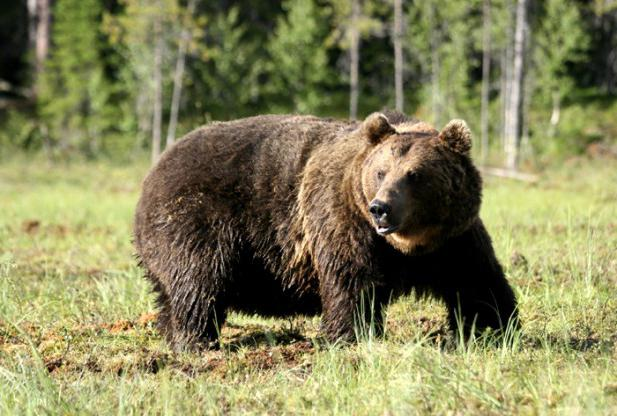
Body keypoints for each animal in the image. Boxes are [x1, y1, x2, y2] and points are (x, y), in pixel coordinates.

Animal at [134, 111, 516, 352]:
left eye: (415, 174)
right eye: (381, 171)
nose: (381, 207)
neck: (409, 245)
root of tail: (153, 171)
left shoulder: (453, 239)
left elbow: (477, 280)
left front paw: (495, 327)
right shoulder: (343, 216)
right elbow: (351, 278)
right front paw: (350, 334)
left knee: (171, 290)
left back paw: (171, 331)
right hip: (197, 217)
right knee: (199, 280)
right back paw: (195, 340)